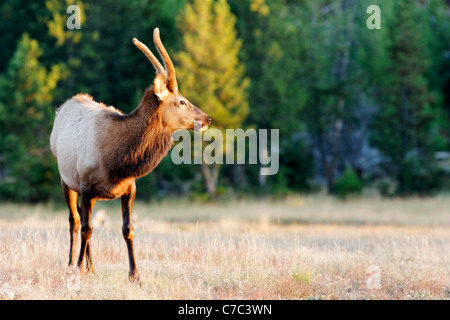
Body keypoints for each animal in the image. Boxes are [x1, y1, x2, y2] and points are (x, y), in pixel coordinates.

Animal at [50, 28, 212, 282]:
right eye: (182, 101)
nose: (207, 119)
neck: (116, 162)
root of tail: (64, 107)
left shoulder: (130, 187)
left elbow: (128, 229)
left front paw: (135, 275)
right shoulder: (85, 184)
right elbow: (85, 227)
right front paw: (77, 270)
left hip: (91, 195)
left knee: (88, 221)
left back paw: (91, 266)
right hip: (66, 180)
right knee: (75, 222)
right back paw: (71, 265)